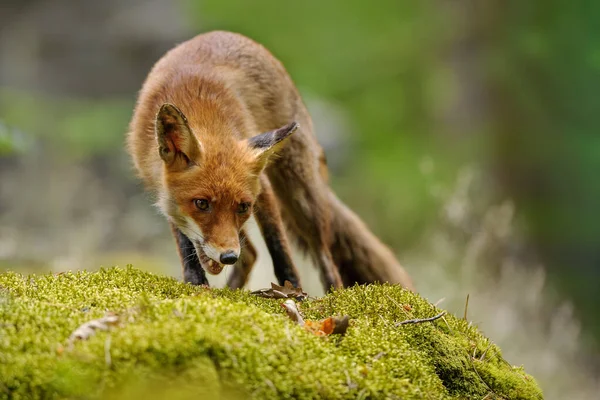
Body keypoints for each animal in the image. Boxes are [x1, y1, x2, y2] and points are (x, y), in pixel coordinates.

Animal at [127, 31, 412, 292]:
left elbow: (279, 247)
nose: (228, 256)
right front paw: (196, 283)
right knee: (251, 254)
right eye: (201, 203)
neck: (199, 110)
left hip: (301, 198)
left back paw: (332, 296)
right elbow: (186, 243)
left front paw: (293, 290)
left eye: (243, 206)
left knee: (325, 259)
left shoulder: (261, 189)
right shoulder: (163, 191)